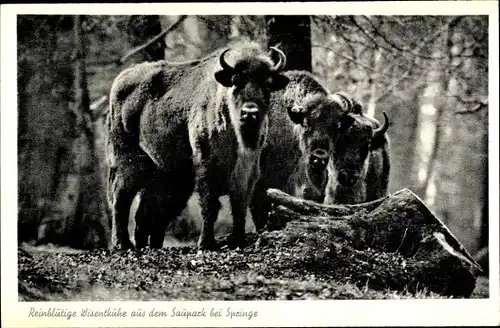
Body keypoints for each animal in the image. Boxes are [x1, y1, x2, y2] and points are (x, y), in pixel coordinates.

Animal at [106, 43, 288, 249]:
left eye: (267, 84)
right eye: (236, 82)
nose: (250, 112)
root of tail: (121, 80)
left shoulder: (247, 171)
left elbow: (239, 204)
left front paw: (238, 240)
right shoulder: (207, 165)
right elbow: (210, 205)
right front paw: (206, 243)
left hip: (167, 175)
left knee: (151, 211)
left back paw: (148, 245)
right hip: (128, 163)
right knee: (121, 198)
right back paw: (123, 244)